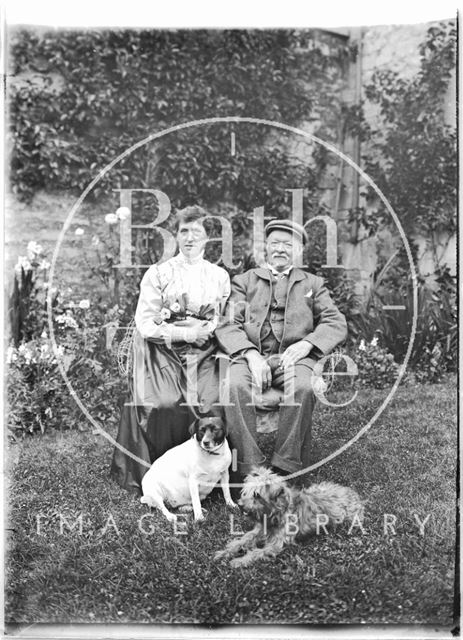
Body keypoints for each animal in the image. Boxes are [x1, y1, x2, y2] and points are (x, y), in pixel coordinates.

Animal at [216, 468, 364, 568]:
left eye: (257, 495)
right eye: (245, 492)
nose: (240, 505)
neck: (274, 516)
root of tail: (353, 493)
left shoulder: (274, 545)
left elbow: (256, 552)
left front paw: (239, 561)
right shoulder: (257, 532)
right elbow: (241, 541)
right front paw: (224, 553)